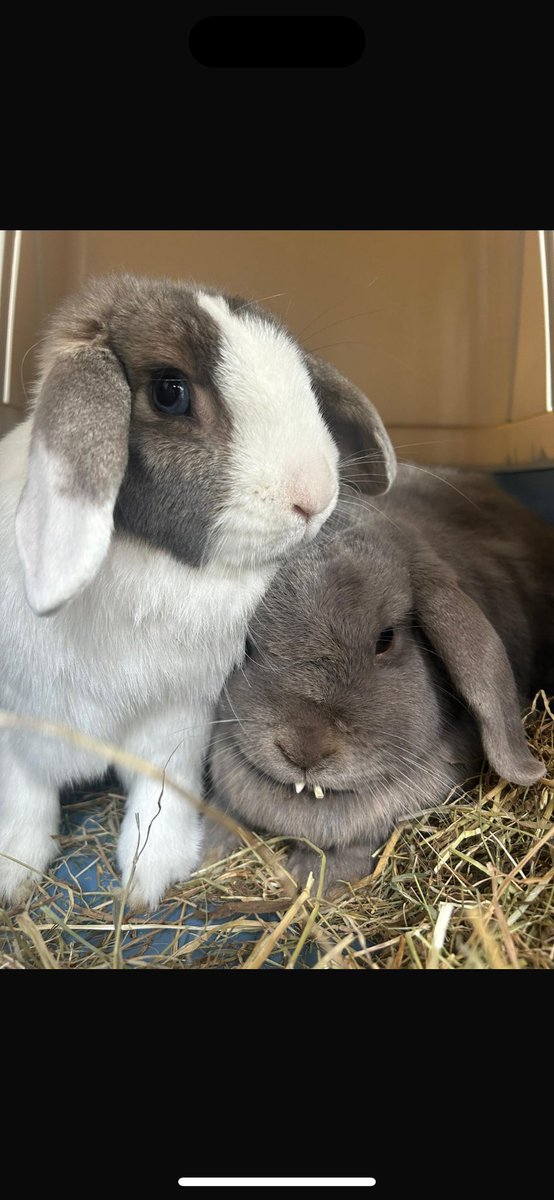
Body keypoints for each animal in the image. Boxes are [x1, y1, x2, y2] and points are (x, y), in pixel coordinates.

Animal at [0, 273, 397, 909]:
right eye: (169, 392)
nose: (314, 495)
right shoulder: (21, 723)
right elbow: (26, 797)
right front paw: (15, 876)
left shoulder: (177, 722)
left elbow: (160, 797)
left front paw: (148, 882)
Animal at [204, 466, 554, 893]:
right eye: (247, 644)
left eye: (385, 639)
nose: (303, 750)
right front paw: (207, 851)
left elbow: (355, 846)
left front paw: (314, 879)